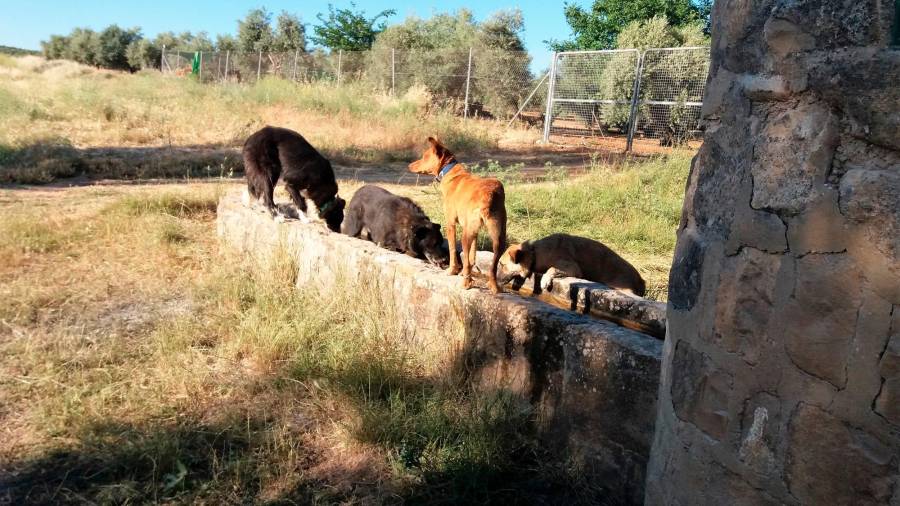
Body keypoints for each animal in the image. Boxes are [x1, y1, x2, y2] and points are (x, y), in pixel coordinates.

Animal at [408, 137, 506, 292]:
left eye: (424, 157)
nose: (409, 165)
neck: (450, 172)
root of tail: (489, 195)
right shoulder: (474, 231)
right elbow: (471, 258)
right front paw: (464, 271)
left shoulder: (450, 224)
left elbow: (453, 250)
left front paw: (452, 271)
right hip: (498, 237)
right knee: (493, 266)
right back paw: (493, 286)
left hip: (466, 236)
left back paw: (466, 283)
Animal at [500, 233, 648, 296]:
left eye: (501, 264)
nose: (496, 280)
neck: (535, 252)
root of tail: (640, 279)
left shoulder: (572, 267)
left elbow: (551, 269)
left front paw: (545, 280)